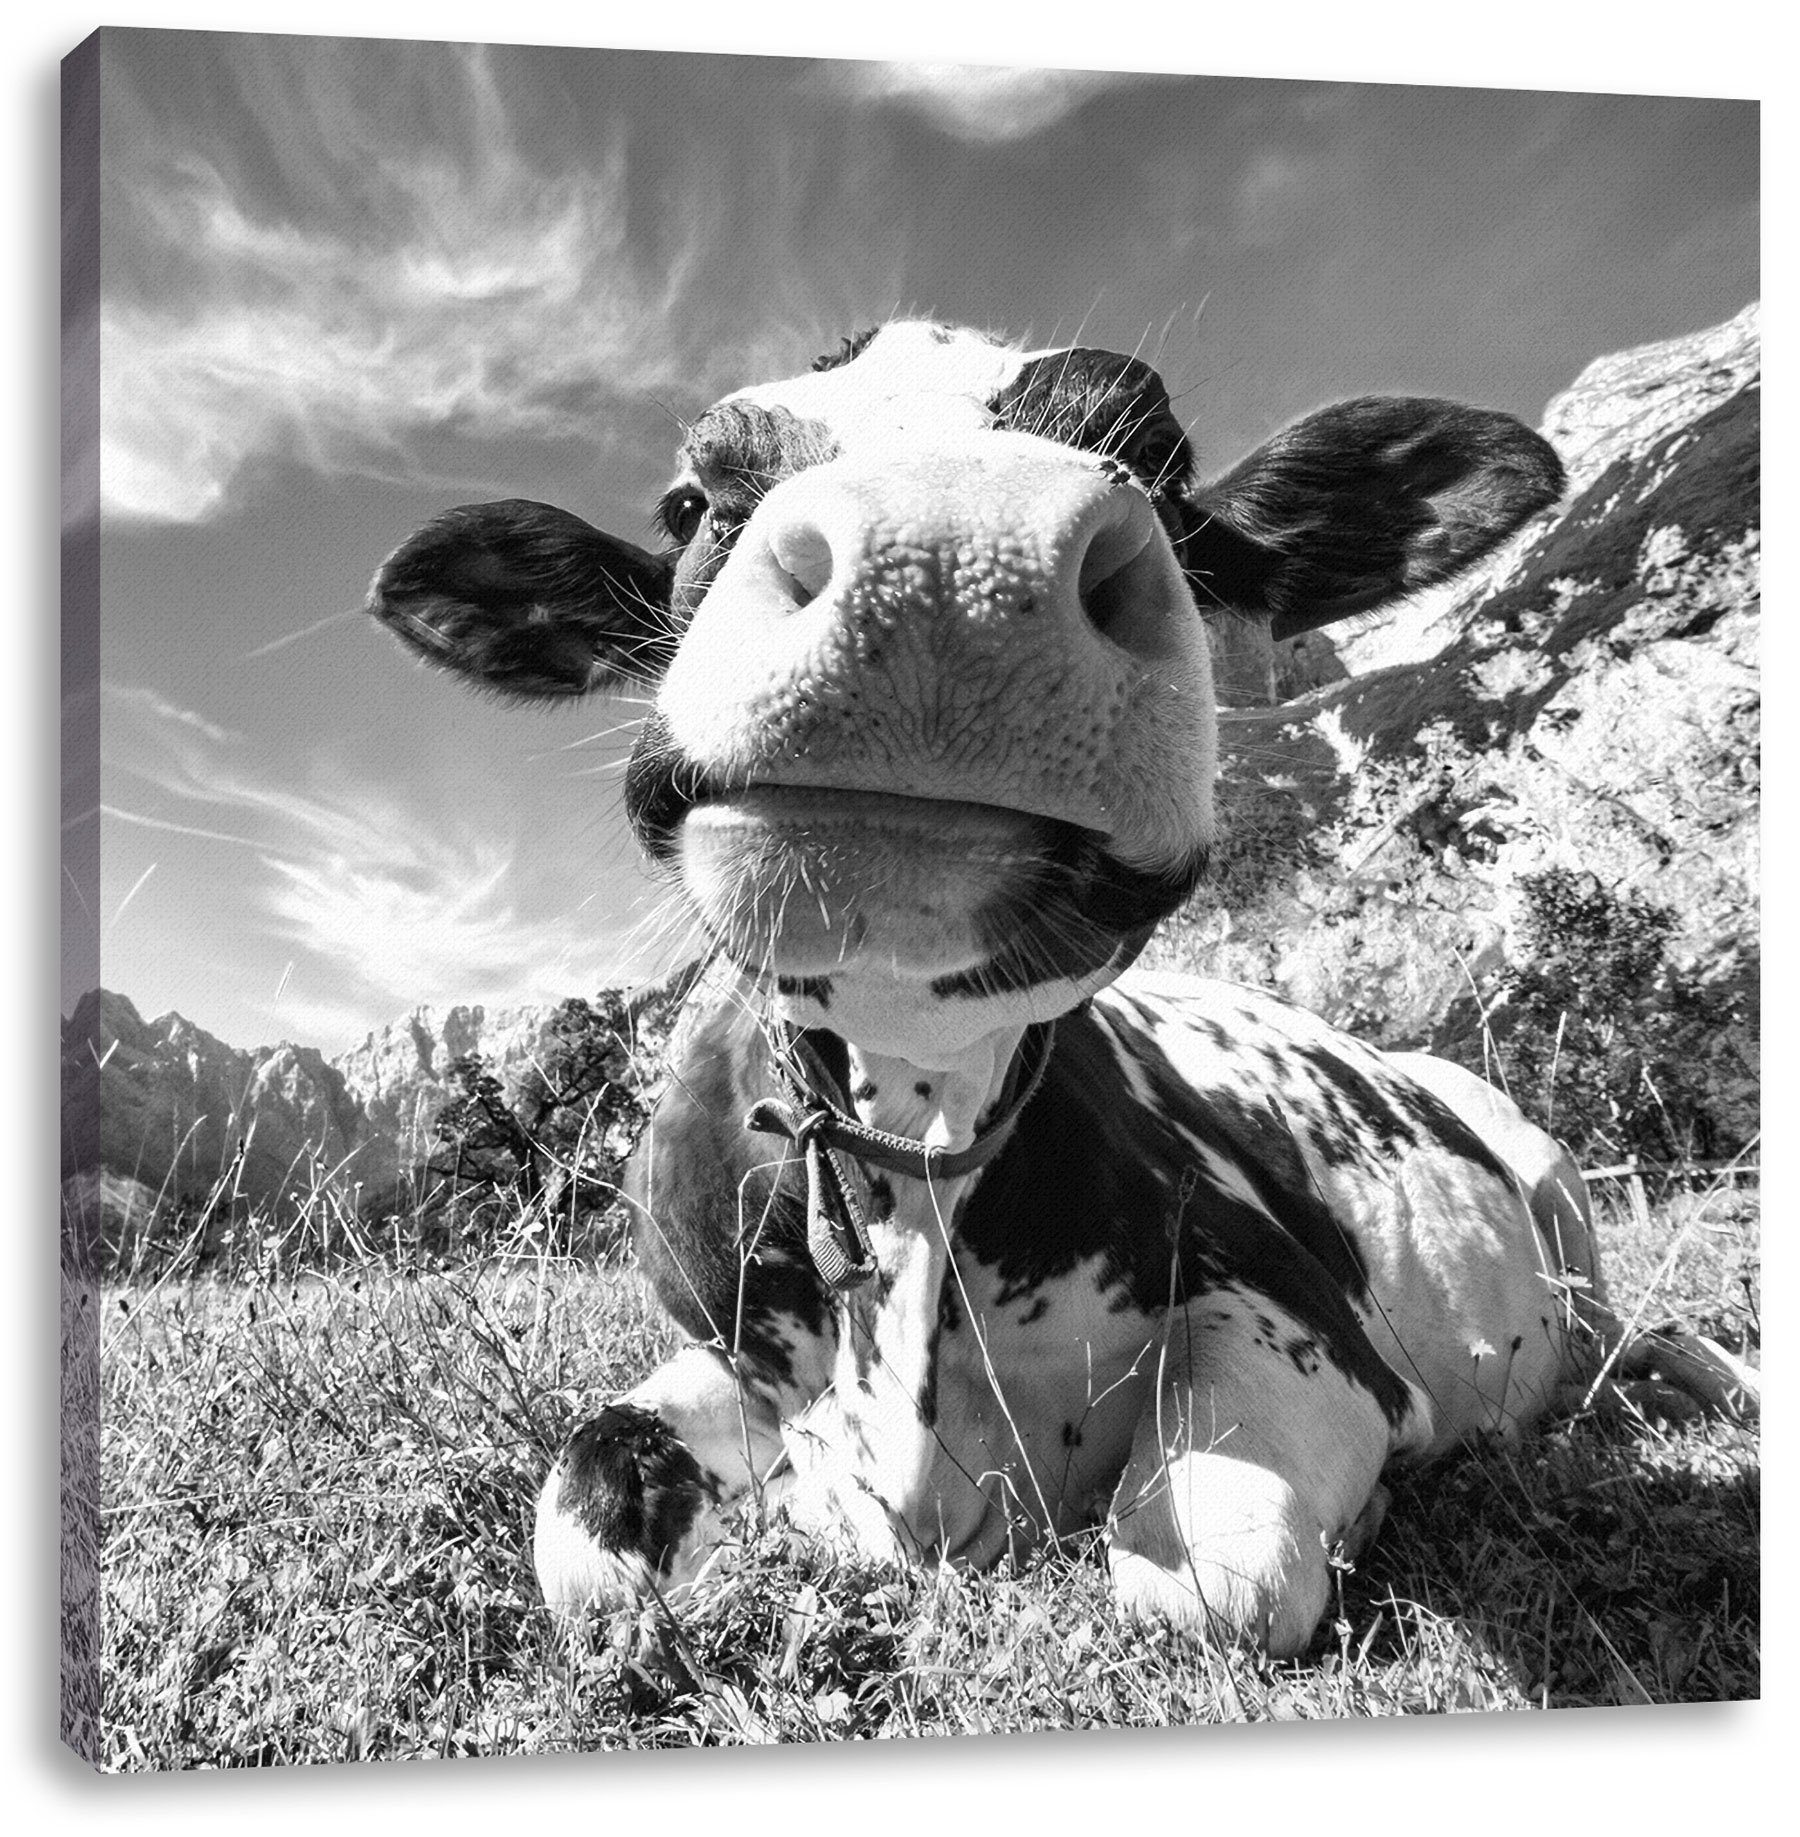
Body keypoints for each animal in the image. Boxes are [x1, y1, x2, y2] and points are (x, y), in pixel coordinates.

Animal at [366, 321, 1755, 1657]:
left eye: (1163, 463)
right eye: (692, 501)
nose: (946, 560)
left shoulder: (1309, 1316)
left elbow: (1214, 1580)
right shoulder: (725, 1352)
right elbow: (586, 1527)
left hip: (1554, 1181)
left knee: (1628, 1336)